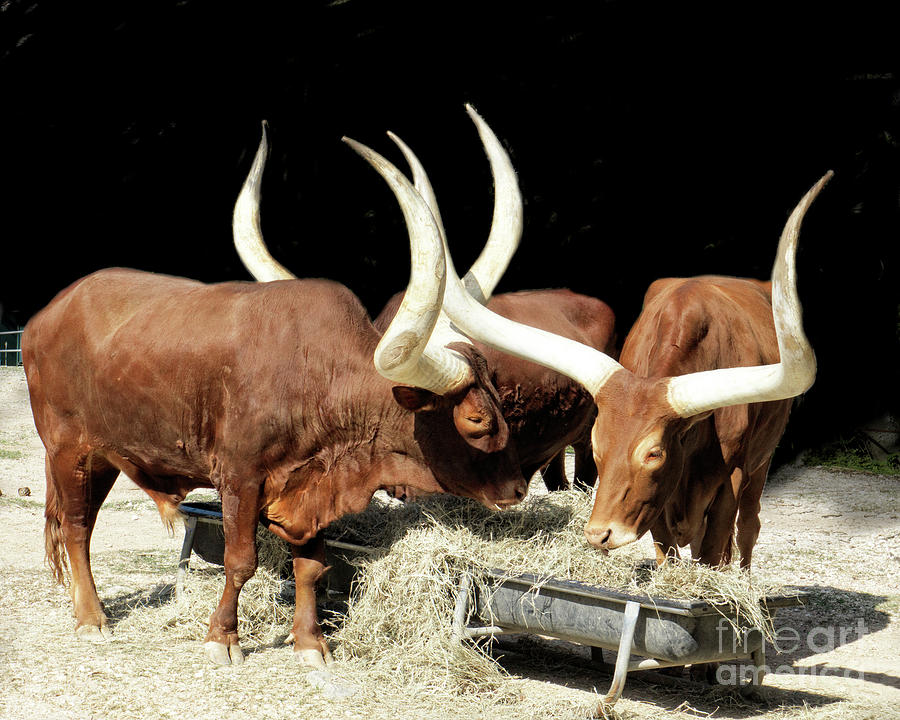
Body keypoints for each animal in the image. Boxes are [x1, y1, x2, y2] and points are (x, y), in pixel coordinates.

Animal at [22, 139, 528, 668]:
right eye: (476, 419)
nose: (518, 489)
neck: (315, 376)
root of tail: (47, 314)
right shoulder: (240, 477)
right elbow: (240, 561)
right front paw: (222, 637)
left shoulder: (312, 486)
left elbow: (310, 567)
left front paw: (310, 642)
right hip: (67, 449)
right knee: (77, 526)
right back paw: (91, 617)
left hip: (105, 455)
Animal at [420, 169, 828, 568]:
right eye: (599, 442)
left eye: (654, 453)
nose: (600, 534)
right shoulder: (656, 507)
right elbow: (667, 552)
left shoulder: (732, 476)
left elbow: (716, 546)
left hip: (762, 462)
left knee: (749, 527)